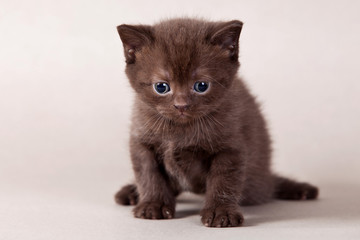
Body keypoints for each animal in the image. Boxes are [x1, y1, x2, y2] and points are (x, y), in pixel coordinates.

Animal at [113, 18, 318, 227]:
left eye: (201, 86)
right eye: (161, 87)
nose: (181, 105)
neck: (179, 130)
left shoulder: (230, 147)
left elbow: (223, 180)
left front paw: (221, 212)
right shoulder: (141, 141)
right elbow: (148, 174)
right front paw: (153, 204)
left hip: (256, 185)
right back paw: (131, 192)